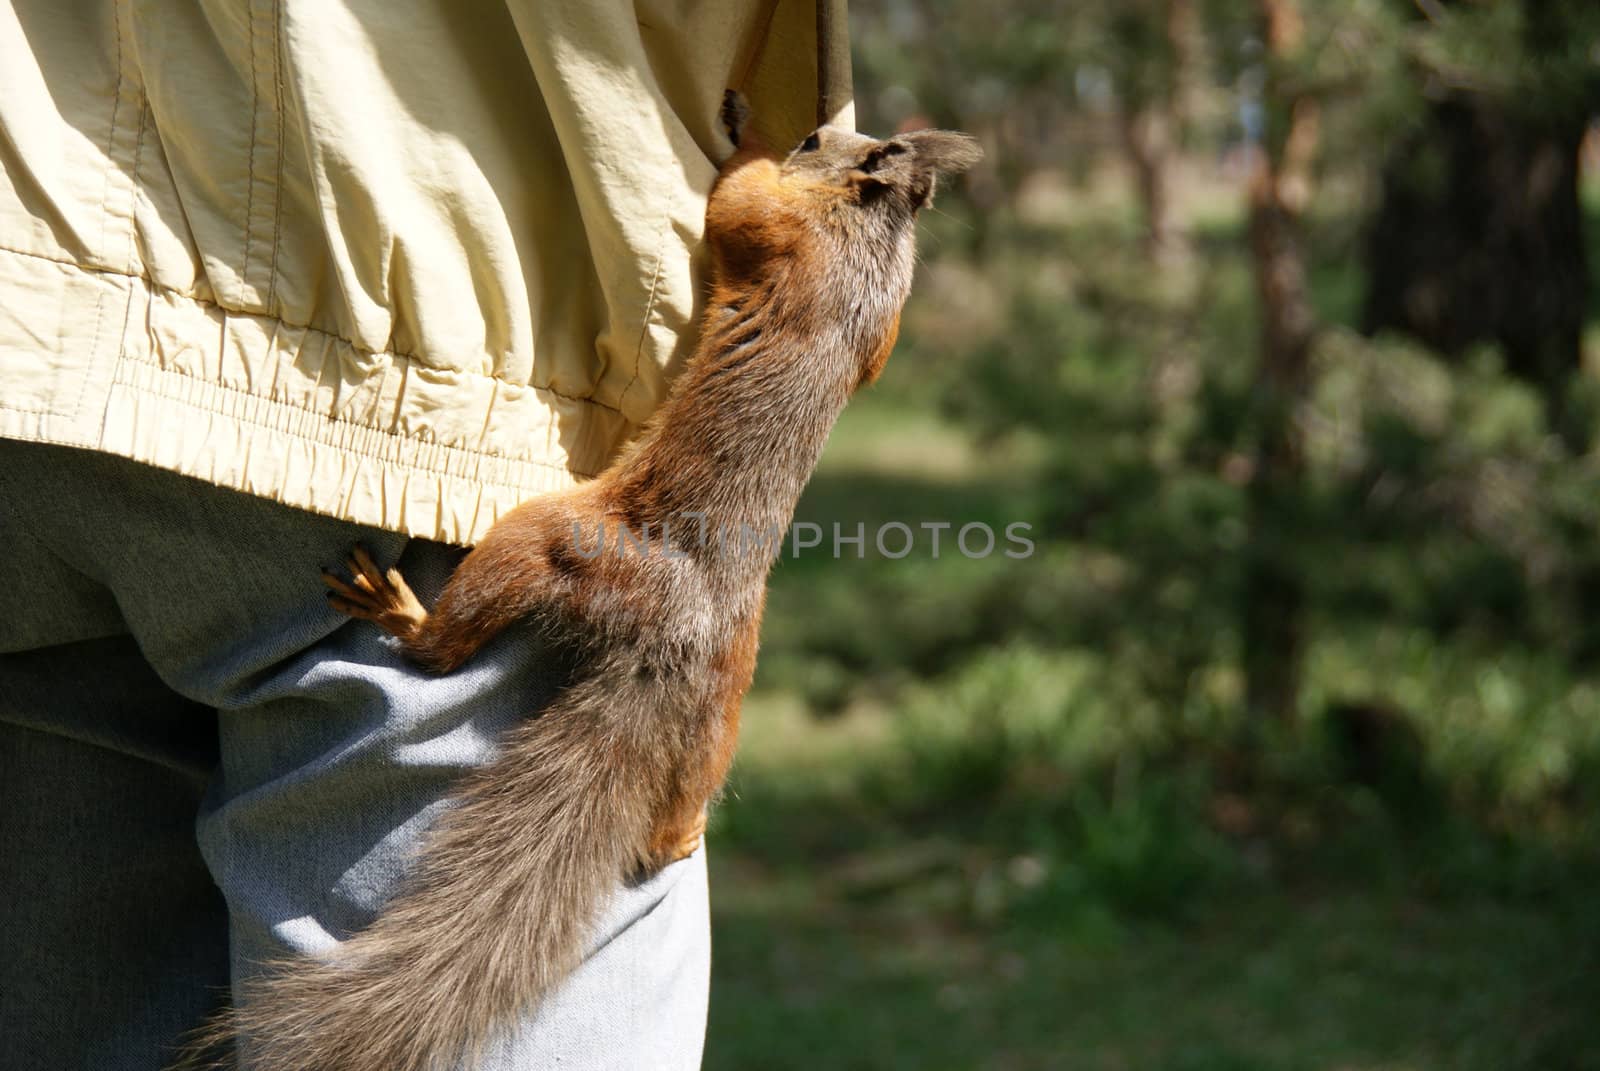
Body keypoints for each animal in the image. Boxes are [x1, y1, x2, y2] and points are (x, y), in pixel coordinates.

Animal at [184, 94, 985, 1069]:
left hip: (554, 540)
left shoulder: (785, 236)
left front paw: (742, 129)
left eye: (815, 141)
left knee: (449, 645)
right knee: (686, 792)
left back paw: (402, 613)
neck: (873, 236)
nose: (810, 124)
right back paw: (680, 834)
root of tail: (673, 637)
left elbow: (736, 206)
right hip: (726, 699)